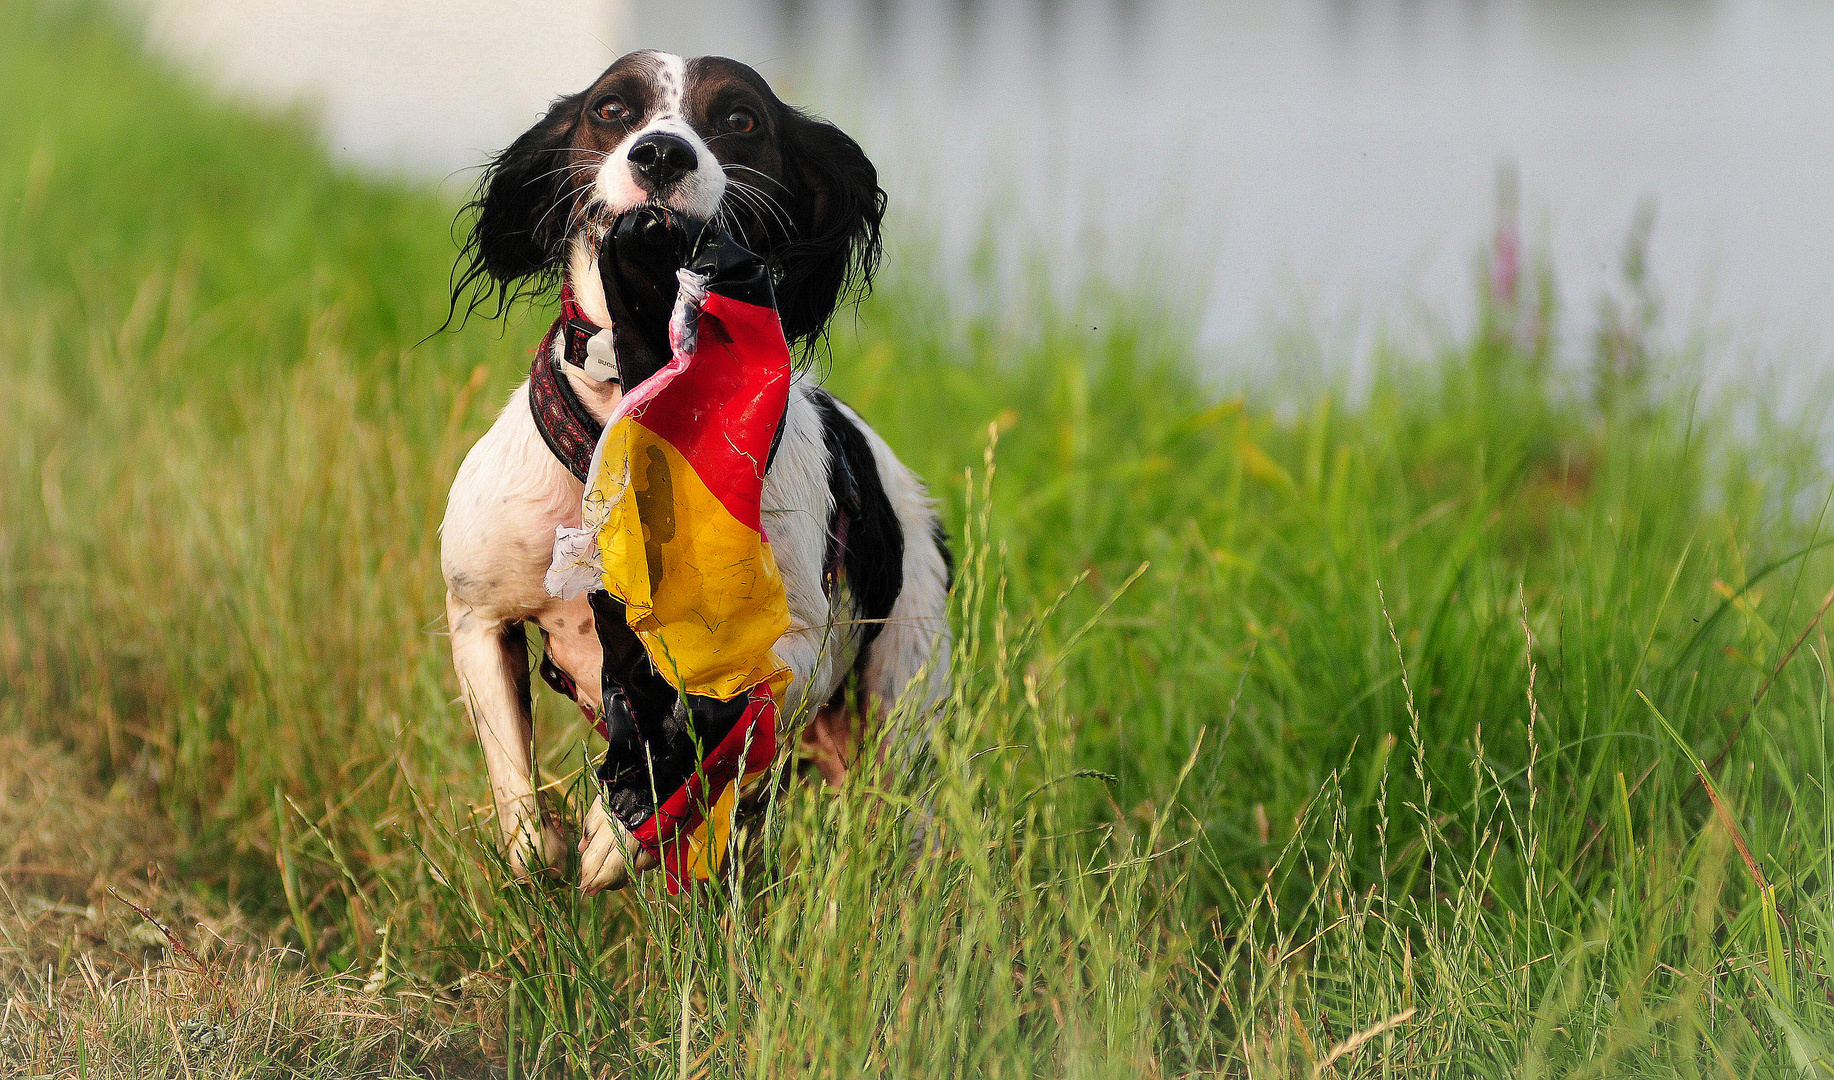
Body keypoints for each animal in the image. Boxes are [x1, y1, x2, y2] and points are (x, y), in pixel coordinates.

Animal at [438, 50, 953, 887]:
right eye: (612, 110)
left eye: (739, 117)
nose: (661, 154)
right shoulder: (478, 612)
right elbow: (516, 781)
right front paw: (543, 846)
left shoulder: (792, 651)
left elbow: (705, 730)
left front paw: (615, 836)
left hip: (901, 712)